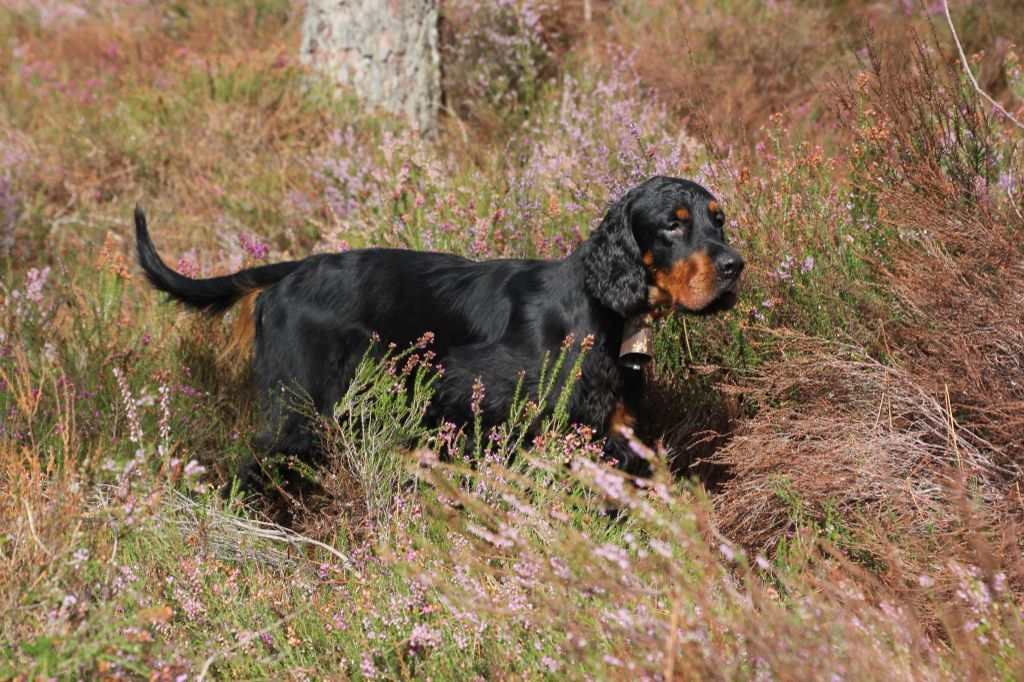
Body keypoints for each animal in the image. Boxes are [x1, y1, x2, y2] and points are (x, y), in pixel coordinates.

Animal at [136, 175, 745, 473]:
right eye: (673, 224)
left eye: (718, 221)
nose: (735, 266)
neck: (598, 308)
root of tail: (291, 271)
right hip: (299, 410)